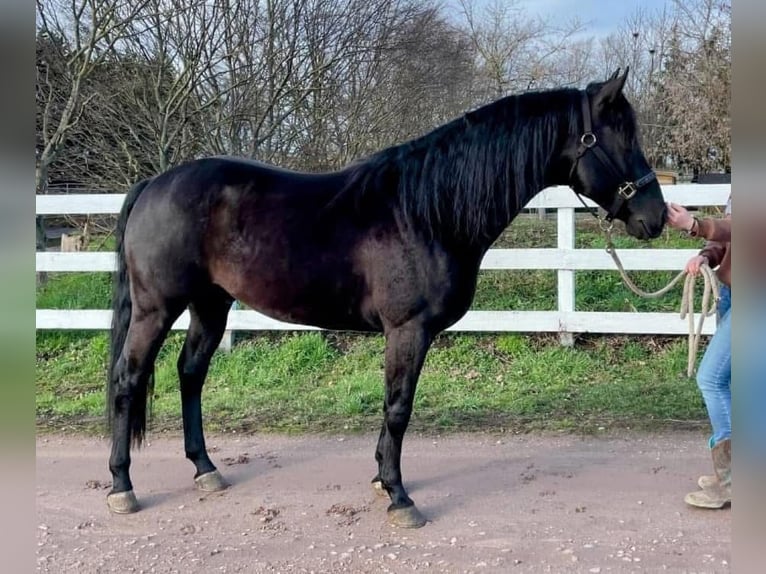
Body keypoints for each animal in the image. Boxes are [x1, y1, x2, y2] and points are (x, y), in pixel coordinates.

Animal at [105, 68, 666, 527]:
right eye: (620, 137)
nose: (657, 217)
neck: (426, 212)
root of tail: (153, 183)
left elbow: (393, 408)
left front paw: (381, 480)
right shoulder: (407, 330)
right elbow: (399, 407)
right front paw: (399, 497)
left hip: (211, 305)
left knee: (190, 374)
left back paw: (205, 469)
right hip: (157, 308)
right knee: (128, 380)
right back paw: (121, 486)